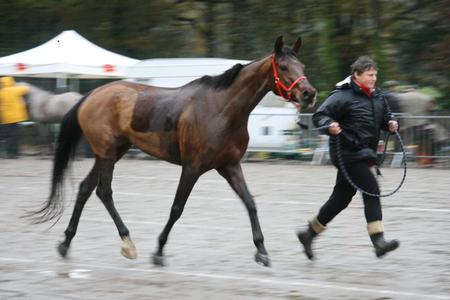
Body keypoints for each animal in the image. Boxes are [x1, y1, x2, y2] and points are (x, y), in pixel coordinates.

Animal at [31, 36, 316, 266]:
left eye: (302, 67)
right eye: (283, 67)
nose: (309, 93)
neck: (221, 109)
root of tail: (89, 96)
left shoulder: (230, 165)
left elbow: (250, 203)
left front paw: (262, 252)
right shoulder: (192, 167)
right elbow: (177, 208)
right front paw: (158, 251)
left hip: (110, 153)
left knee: (85, 189)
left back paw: (66, 243)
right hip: (108, 154)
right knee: (103, 191)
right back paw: (127, 243)